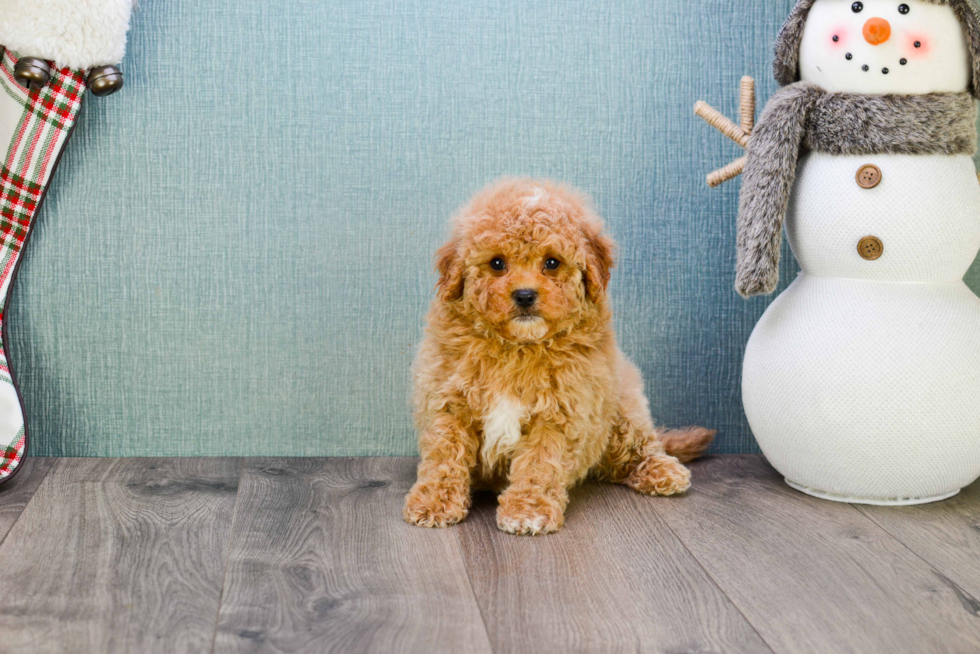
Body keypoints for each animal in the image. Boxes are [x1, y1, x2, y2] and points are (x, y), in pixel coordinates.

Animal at [402, 177, 716, 536]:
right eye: (497, 263)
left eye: (552, 262)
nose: (525, 295)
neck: (517, 348)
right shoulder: (448, 402)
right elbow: (444, 457)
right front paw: (434, 501)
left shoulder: (560, 411)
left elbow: (539, 465)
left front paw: (527, 510)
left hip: (622, 404)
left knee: (637, 448)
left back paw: (661, 469)